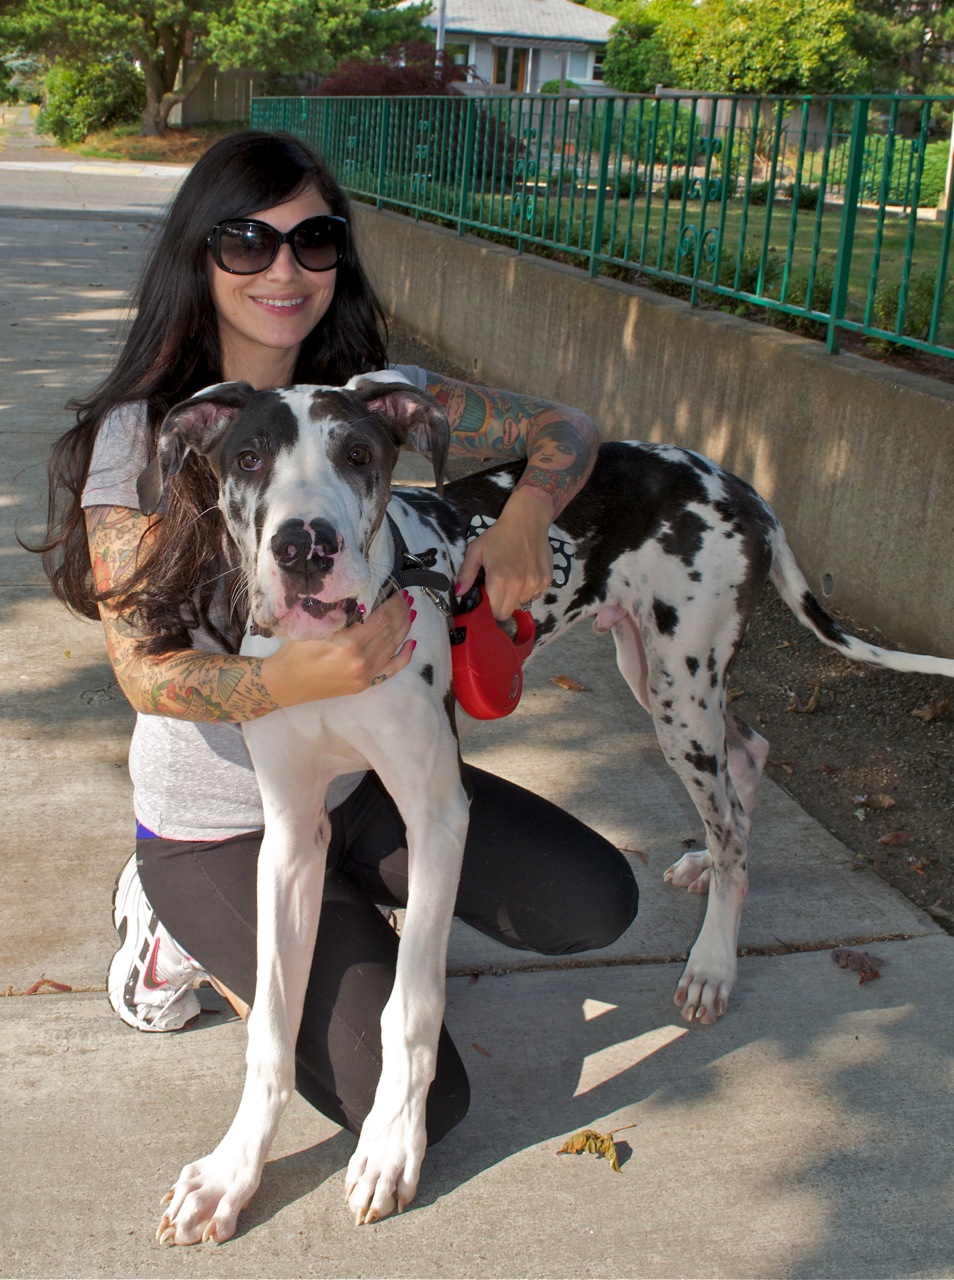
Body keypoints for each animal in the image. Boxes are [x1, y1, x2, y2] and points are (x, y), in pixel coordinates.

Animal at [141, 368, 952, 1239]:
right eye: (248, 457)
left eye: (357, 453)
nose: (304, 548)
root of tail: (732, 478)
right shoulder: (292, 836)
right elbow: (273, 1024)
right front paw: (232, 1173)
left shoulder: (438, 817)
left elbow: (409, 1007)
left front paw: (392, 1146)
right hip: (653, 673)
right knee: (748, 754)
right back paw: (705, 862)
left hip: (680, 687)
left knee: (734, 820)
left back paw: (712, 959)